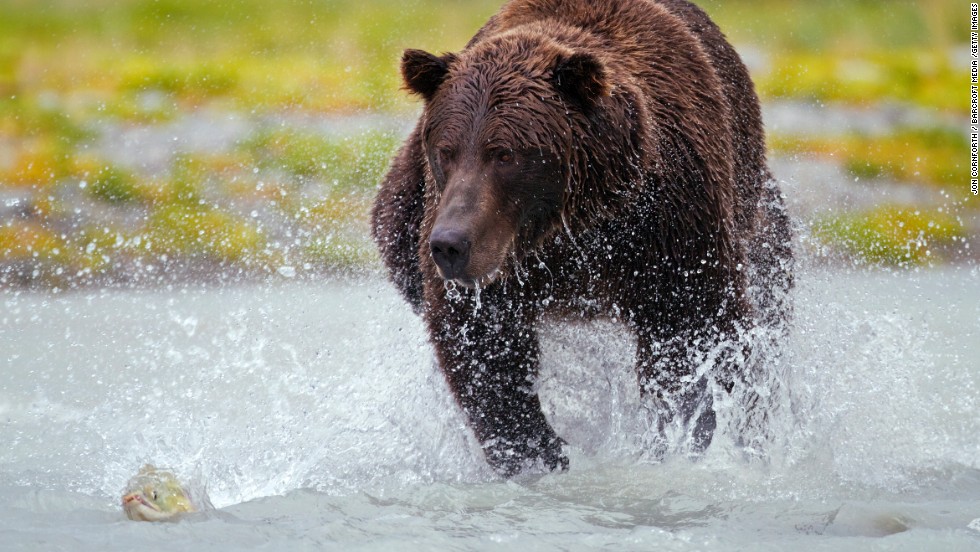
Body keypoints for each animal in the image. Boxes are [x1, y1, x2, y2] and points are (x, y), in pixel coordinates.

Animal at [372, 0, 792, 476]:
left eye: (504, 154)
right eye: (446, 150)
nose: (450, 245)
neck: (572, 230)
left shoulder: (673, 224)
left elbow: (691, 331)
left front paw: (668, 442)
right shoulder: (490, 259)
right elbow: (481, 346)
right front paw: (538, 453)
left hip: (759, 223)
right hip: (404, 207)